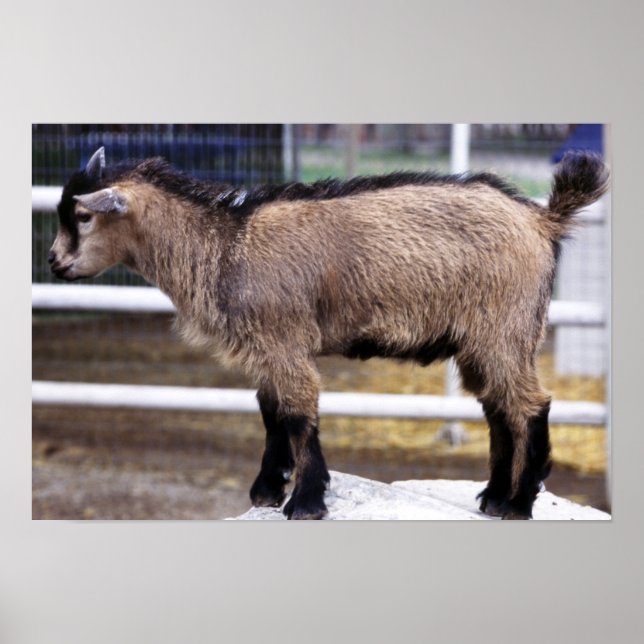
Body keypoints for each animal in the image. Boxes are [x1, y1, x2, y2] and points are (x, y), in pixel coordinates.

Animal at [49, 146, 609, 519]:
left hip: (505, 326)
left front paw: (305, 500)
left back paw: (518, 502)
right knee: (498, 407)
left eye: (82, 215)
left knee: (530, 404)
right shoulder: (267, 348)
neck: (226, 245)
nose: (54, 262)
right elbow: (271, 412)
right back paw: (492, 497)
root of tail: (542, 219)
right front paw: (268, 490)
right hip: (485, 337)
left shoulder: (284, 339)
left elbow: (298, 415)